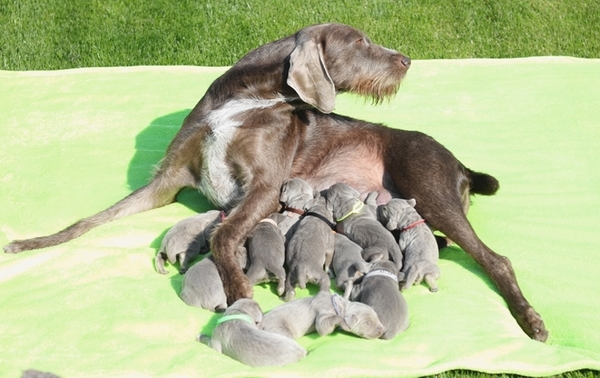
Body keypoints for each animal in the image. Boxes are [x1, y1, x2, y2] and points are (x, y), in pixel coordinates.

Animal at [5, 24, 548, 342]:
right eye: (358, 42)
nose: (406, 60)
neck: (248, 98)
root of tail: (460, 163)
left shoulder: (265, 187)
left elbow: (224, 235)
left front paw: (239, 295)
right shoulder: (166, 182)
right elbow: (88, 221)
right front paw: (32, 243)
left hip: (431, 188)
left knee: (496, 260)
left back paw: (531, 321)